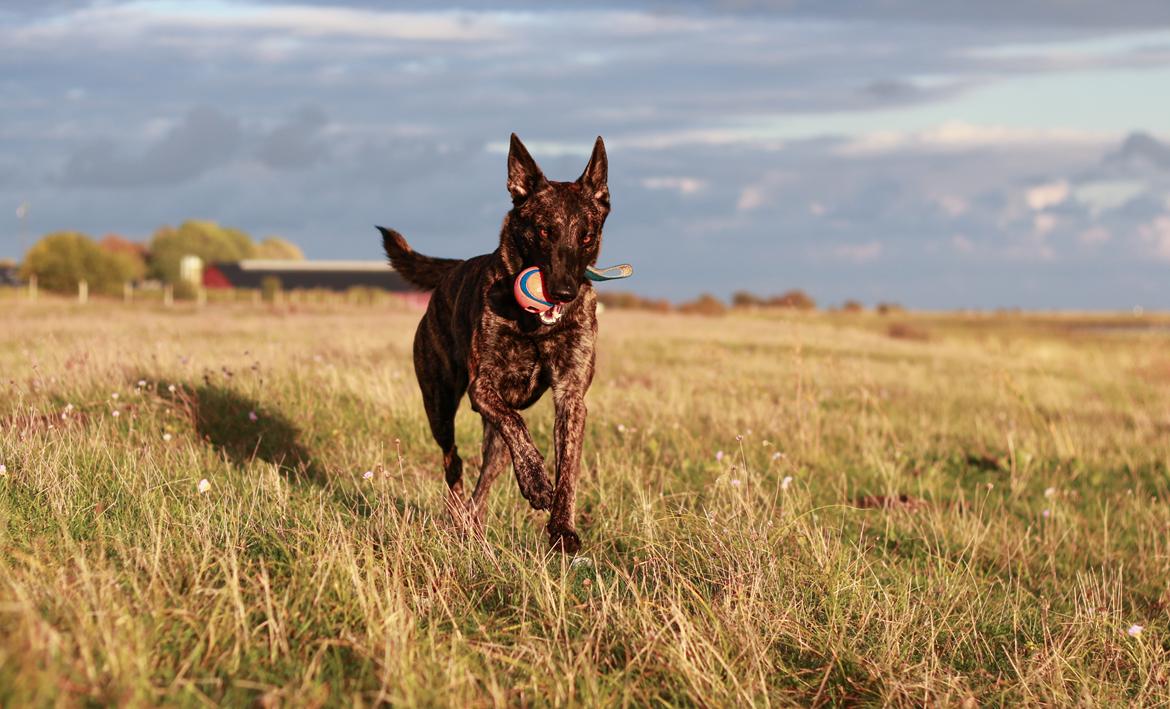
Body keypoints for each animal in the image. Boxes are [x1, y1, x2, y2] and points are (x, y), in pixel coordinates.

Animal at [376, 133, 613, 556]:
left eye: (586, 235)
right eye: (545, 231)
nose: (565, 292)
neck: (534, 325)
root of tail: (453, 267)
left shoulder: (571, 398)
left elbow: (567, 469)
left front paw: (562, 528)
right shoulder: (483, 386)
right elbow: (516, 422)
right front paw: (536, 480)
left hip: (496, 446)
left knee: (484, 483)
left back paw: (472, 527)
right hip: (439, 406)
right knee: (454, 463)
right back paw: (457, 517)